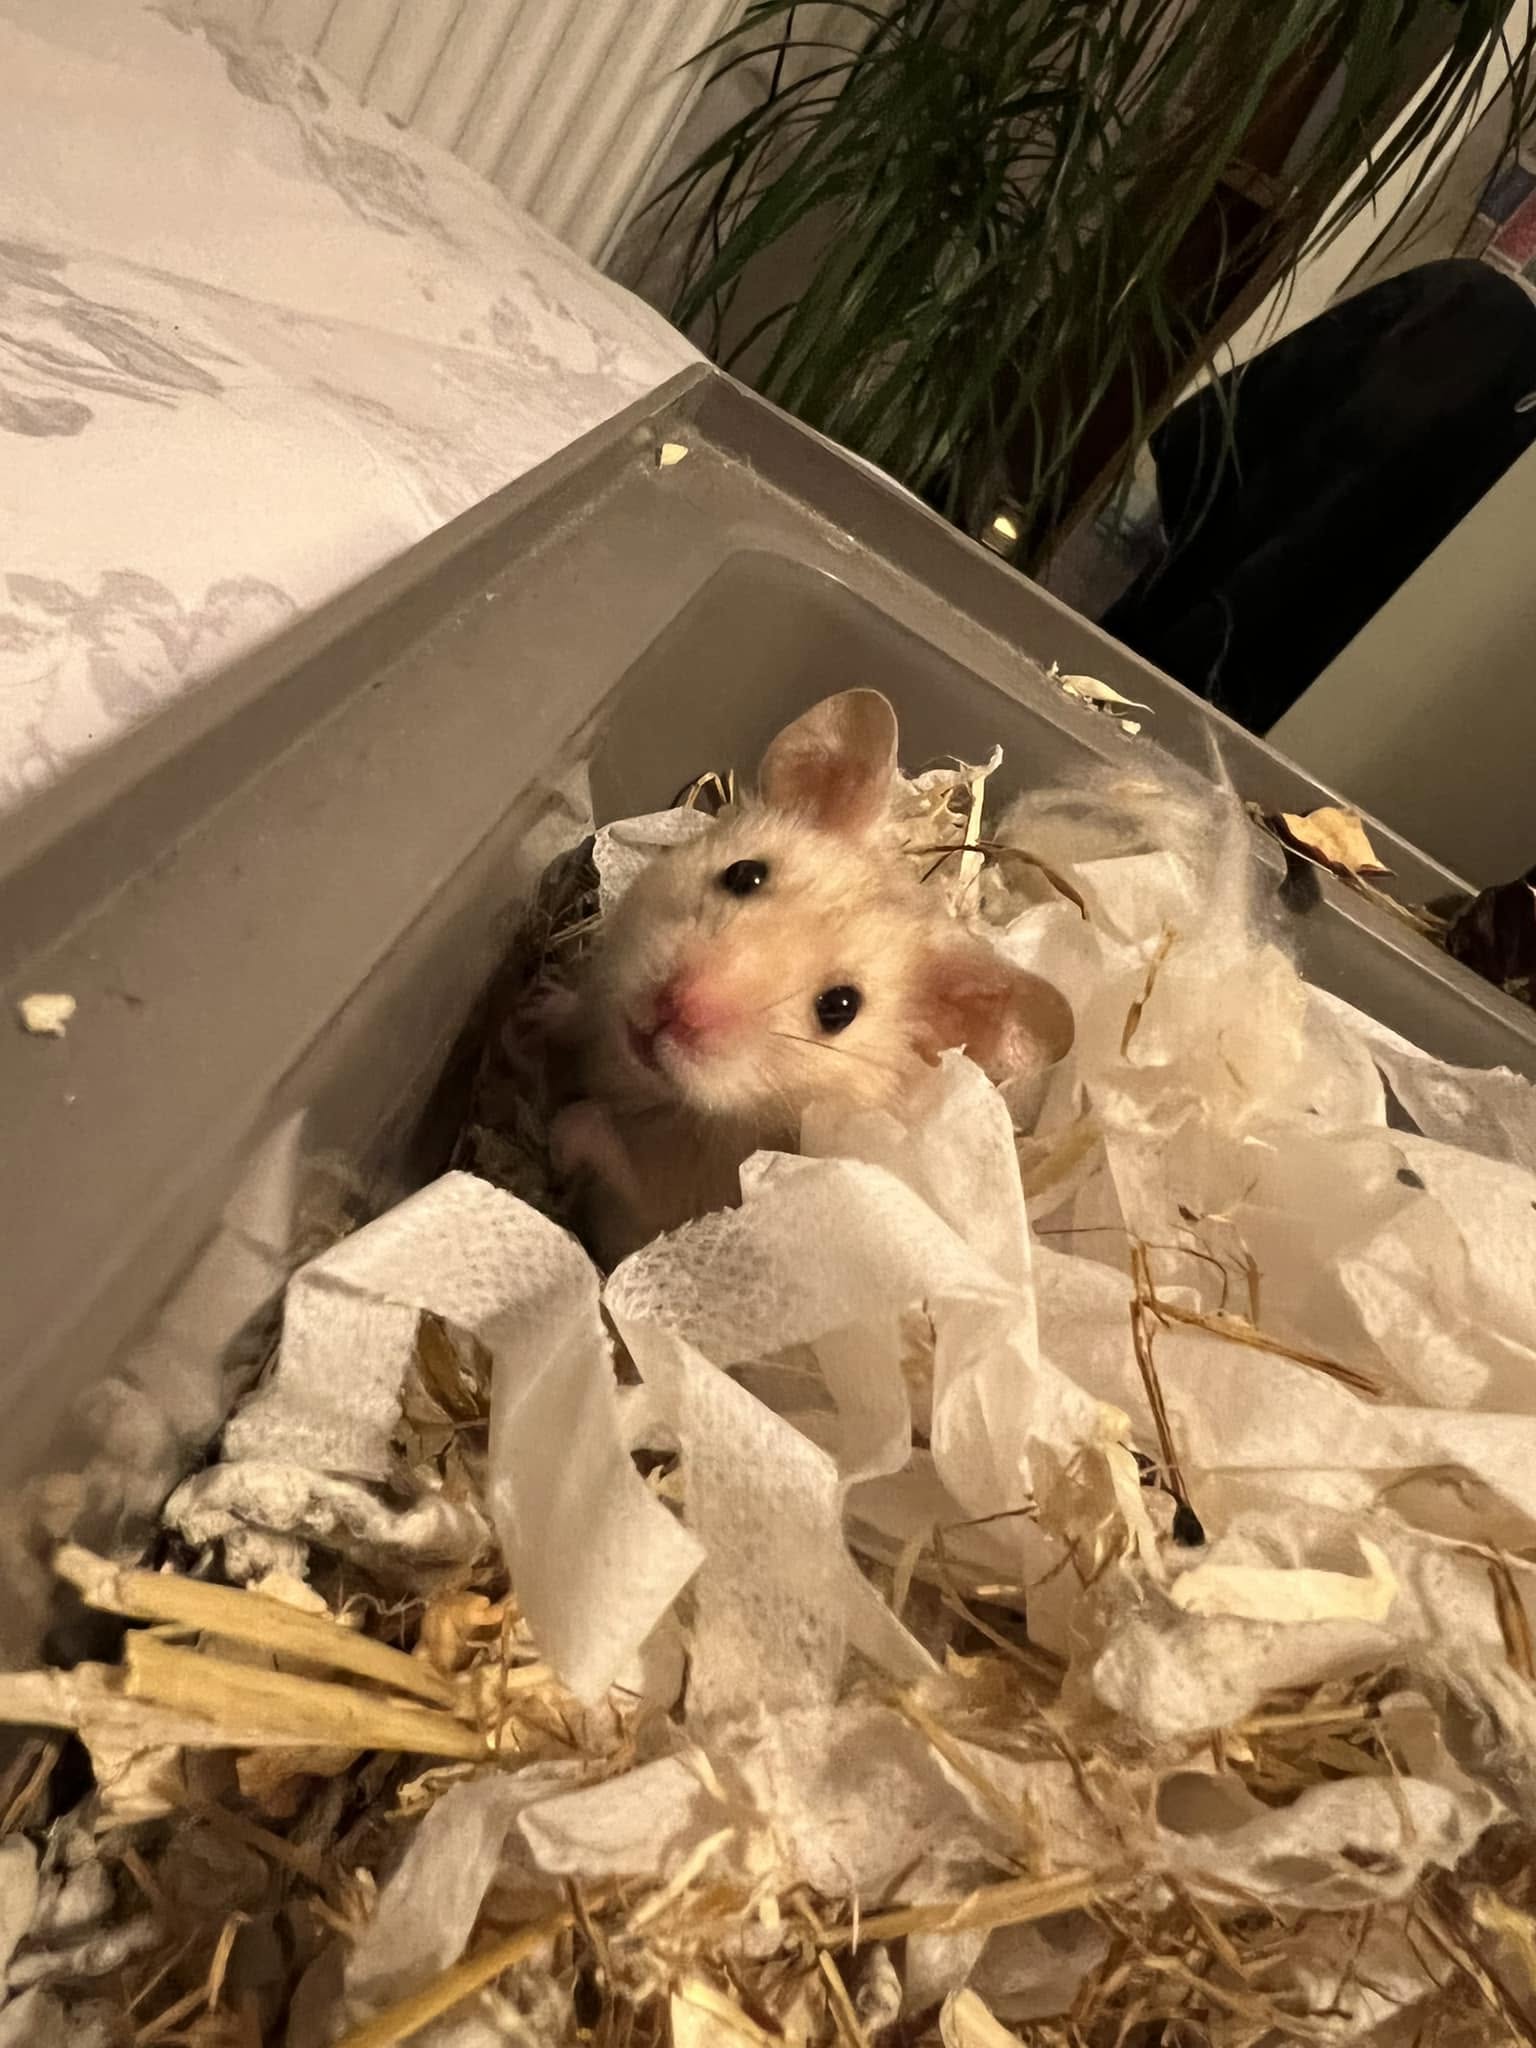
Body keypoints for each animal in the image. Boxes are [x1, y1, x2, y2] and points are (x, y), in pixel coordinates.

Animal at [550, 689, 1073, 1266]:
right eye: (744, 874)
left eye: (839, 1007)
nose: (673, 1007)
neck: (647, 1090)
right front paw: (540, 1011)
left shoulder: (672, 1201)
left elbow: (603, 1142)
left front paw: (558, 1134)